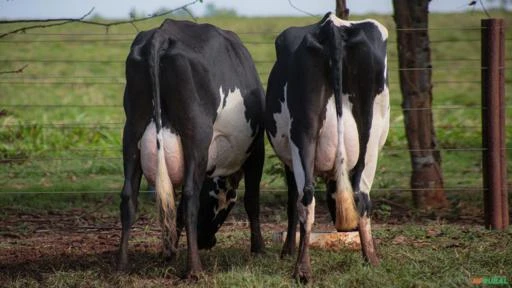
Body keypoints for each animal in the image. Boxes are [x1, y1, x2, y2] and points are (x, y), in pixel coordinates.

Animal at [118, 18, 266, 280]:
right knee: (189, 198)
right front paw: (258, 249)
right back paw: (194, 269)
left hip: (132, 130)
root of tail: (162, 33)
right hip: (197, 135)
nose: (207, 241)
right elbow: (252, 200)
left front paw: (171, 252)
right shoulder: (257, 148)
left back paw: (122, 265)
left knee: (128, 197)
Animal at [264, 12, 388, 282]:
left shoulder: (289, 161)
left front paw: (287, 250)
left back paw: (302, 270)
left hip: (303, 133)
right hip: (370, 136)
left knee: (305, 199)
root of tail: (333, 26)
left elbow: (291, 201)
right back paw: (372, 260)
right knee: (361, 195)